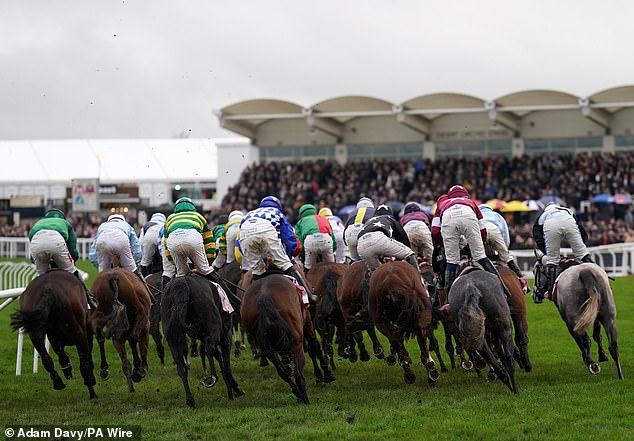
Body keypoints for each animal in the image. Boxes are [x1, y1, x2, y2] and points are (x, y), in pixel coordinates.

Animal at [10, 268, 96, 398]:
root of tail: (48, 291)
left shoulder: (53, 338)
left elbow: (61, 355)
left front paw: (66, 368)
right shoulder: (86, 331)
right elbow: (87, 356)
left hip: (35, 334)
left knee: (46, 359)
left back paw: (58, 382)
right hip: (78, 333)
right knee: (83, 365)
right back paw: (92, 393)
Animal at [160, 274, 244, 408]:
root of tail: (181, 286)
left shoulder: (203, 337)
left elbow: (219, 358)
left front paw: (235, 388)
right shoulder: (225, 335)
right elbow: (225, 365)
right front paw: (233, 393)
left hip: (173, 339)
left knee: (181, 366)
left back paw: (190, 400)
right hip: (215, 331)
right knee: (210, 349)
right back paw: (211, 378)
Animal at [239, 274, 334, 404]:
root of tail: (263, 297)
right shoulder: (307, 321)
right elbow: (314, 345)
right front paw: (325, 374)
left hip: (266, 346)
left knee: (282, 371)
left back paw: (297, 392)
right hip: (297, 342)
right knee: (298, 372)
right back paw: (304, 397)